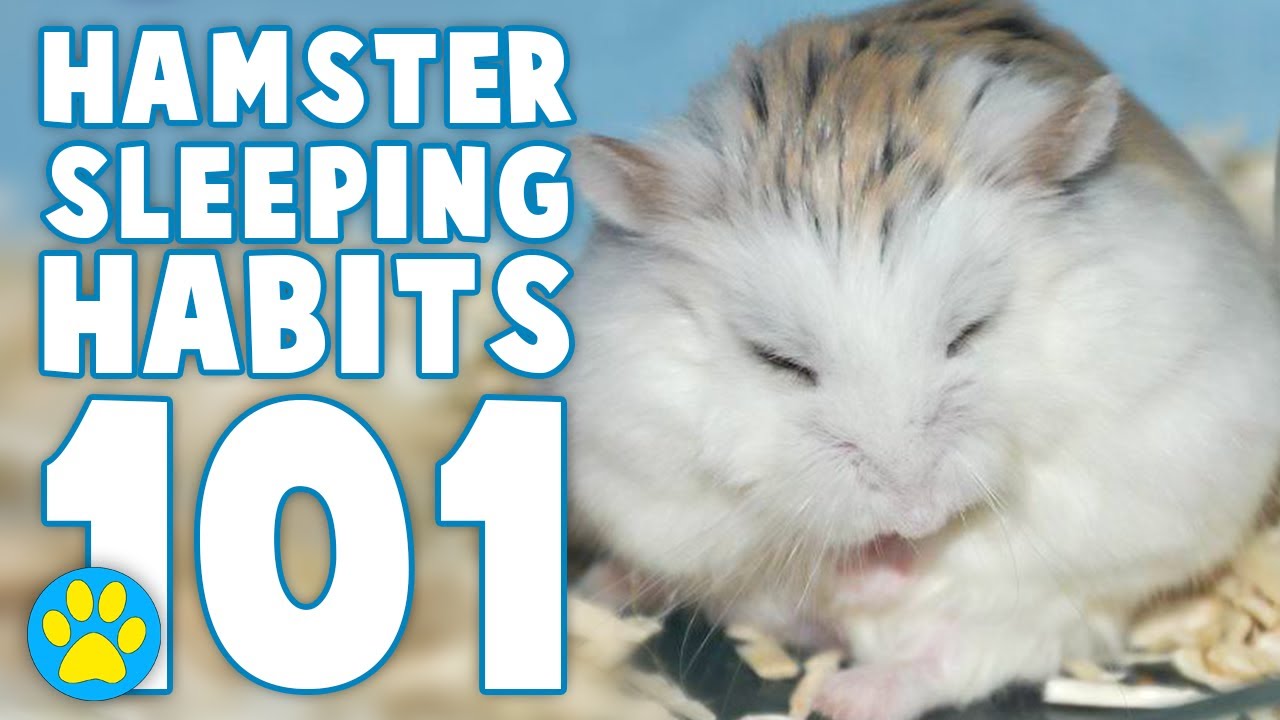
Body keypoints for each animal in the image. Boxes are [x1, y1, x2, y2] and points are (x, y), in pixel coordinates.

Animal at [555, 1, 1280, 718]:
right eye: (779, 360)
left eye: (971, 329)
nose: (913, 515)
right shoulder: (646, 466)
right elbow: (765, 534)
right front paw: (869, 562)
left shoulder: (1140, 453)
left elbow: (1010, 531)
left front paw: (902, 559)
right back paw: (611, 591)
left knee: (955, 658)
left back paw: (848, 696)